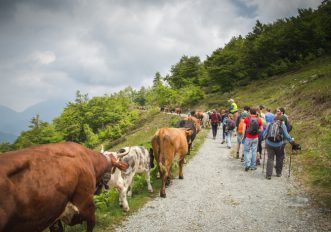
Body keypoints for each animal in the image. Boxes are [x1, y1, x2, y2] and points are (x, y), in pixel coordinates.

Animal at [0, 141, 129, 232]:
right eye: (116, 167)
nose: (122, 184)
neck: (88, 160)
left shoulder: (54, 218)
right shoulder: (87, 205)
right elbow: (90, 226)